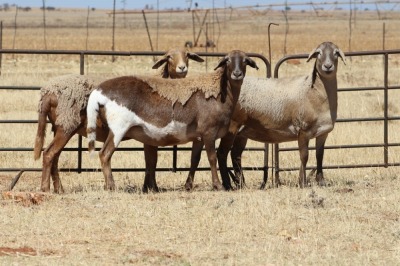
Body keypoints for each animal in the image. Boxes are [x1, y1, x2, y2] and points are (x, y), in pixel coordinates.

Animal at [33, 48, 205, 193]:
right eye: (169, 57)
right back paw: (45, 188)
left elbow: (150, 160)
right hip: (67, 124)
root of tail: (47, 93)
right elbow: (152, 161)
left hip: (59, 126)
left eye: (187, 55)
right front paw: (152, 188)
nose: (182, 68)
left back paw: (59, 189)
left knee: (54, 157)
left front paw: (149, 187)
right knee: (49, 154)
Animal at [85, 49, 258, 191]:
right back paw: (111, 186)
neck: (220, 92)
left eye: (245, 61)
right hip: (118, 127)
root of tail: (99, 91)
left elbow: (194, 159)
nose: (237, 74)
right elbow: (212, 158)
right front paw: (218, 185)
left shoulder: (199, 136)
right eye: (227, 60)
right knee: (105, 154)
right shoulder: (209, 132)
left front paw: (188, 186)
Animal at [216, 41, 346, 189]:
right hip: (231, 127)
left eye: (336, 53)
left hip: (242, 131)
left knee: (235, 155)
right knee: (222, 153)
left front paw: (321, 182)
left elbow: (320, 156)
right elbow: (304, 156)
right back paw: (228, 185)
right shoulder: (302, 129)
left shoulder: (323, 132)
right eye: (318, 53)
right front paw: (302, 182)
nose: (328, 66)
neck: (314, 92)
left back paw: (241, 184)